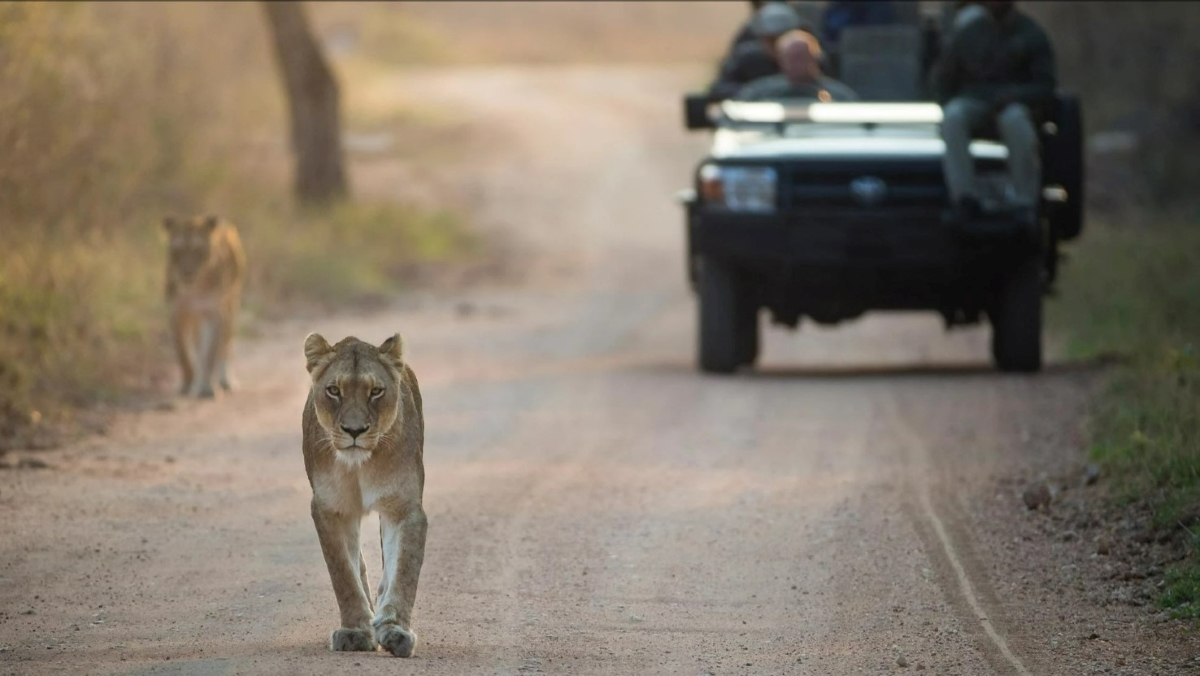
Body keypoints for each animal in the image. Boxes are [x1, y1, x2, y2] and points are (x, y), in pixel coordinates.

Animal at [163, 216, 244, 396]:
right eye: (178, 251)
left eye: (198, 251)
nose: (187, 273)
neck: (195, 287)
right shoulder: (177, 313)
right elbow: (184, 355)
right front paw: (188, 384)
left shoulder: (214, 314)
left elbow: (210, 355)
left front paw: (207, 388)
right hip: (196, 318)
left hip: (231, 306)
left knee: (224, 345)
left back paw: (222, 380)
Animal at [300, 333, 427, 657]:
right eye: (334, 390)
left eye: (376, 391)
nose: (354, 430)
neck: (359, 465)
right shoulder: (330, 508)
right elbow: (344, 573)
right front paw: (356, 631)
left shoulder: (405, 507)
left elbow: (403, 570)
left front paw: (395, 630)